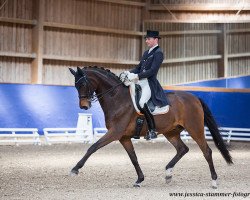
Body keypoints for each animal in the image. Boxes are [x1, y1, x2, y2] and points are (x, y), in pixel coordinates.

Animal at [68, 66, 232, 188]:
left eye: (83, 84)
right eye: (75, 86)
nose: (84, 106)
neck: (117, 98)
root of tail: (195, 98)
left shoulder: (115, 133)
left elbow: (93, 147)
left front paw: (75, 169)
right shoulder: (124, 137)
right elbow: (133, 158)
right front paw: (139, 180)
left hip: (195, 129)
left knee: (207, 151)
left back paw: (214, 181)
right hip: (171, 132)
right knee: (182, 149)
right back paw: (168, 173)